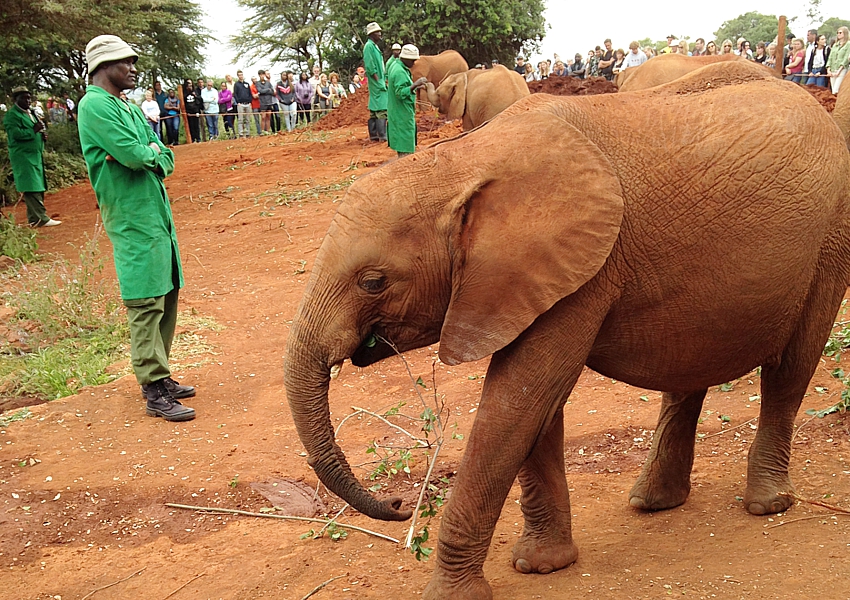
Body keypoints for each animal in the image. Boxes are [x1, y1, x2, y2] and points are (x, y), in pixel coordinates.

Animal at [284, 62, 848, 600]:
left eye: (373, 282)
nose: (402, 504)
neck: (463, 161)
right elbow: (536, 408)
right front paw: (543, 566)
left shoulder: (585, 272)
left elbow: (518, 402)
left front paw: (453, 594)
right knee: (690, 367)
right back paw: (654, 502)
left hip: (831, 239)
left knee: (790, 372)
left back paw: (768, 504)